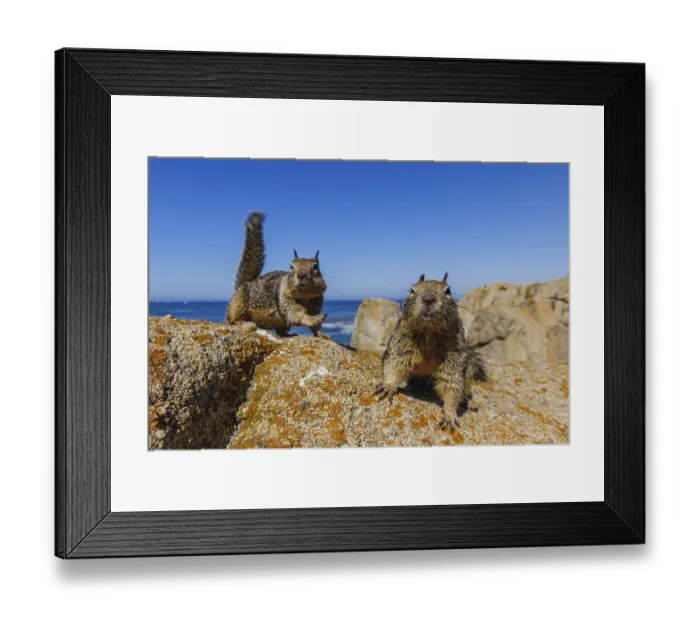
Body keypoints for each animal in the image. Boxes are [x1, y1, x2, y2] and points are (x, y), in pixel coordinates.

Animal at [375, 273, 487, 431]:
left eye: (448, 291)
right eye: (412, 290)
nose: (428, 298)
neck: (428, 330)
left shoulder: (454, 355)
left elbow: (452, 383)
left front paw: (450, 414)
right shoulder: (400, 343)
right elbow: (394, 363)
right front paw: (388, 385)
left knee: (464, 389)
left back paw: (467, 402)